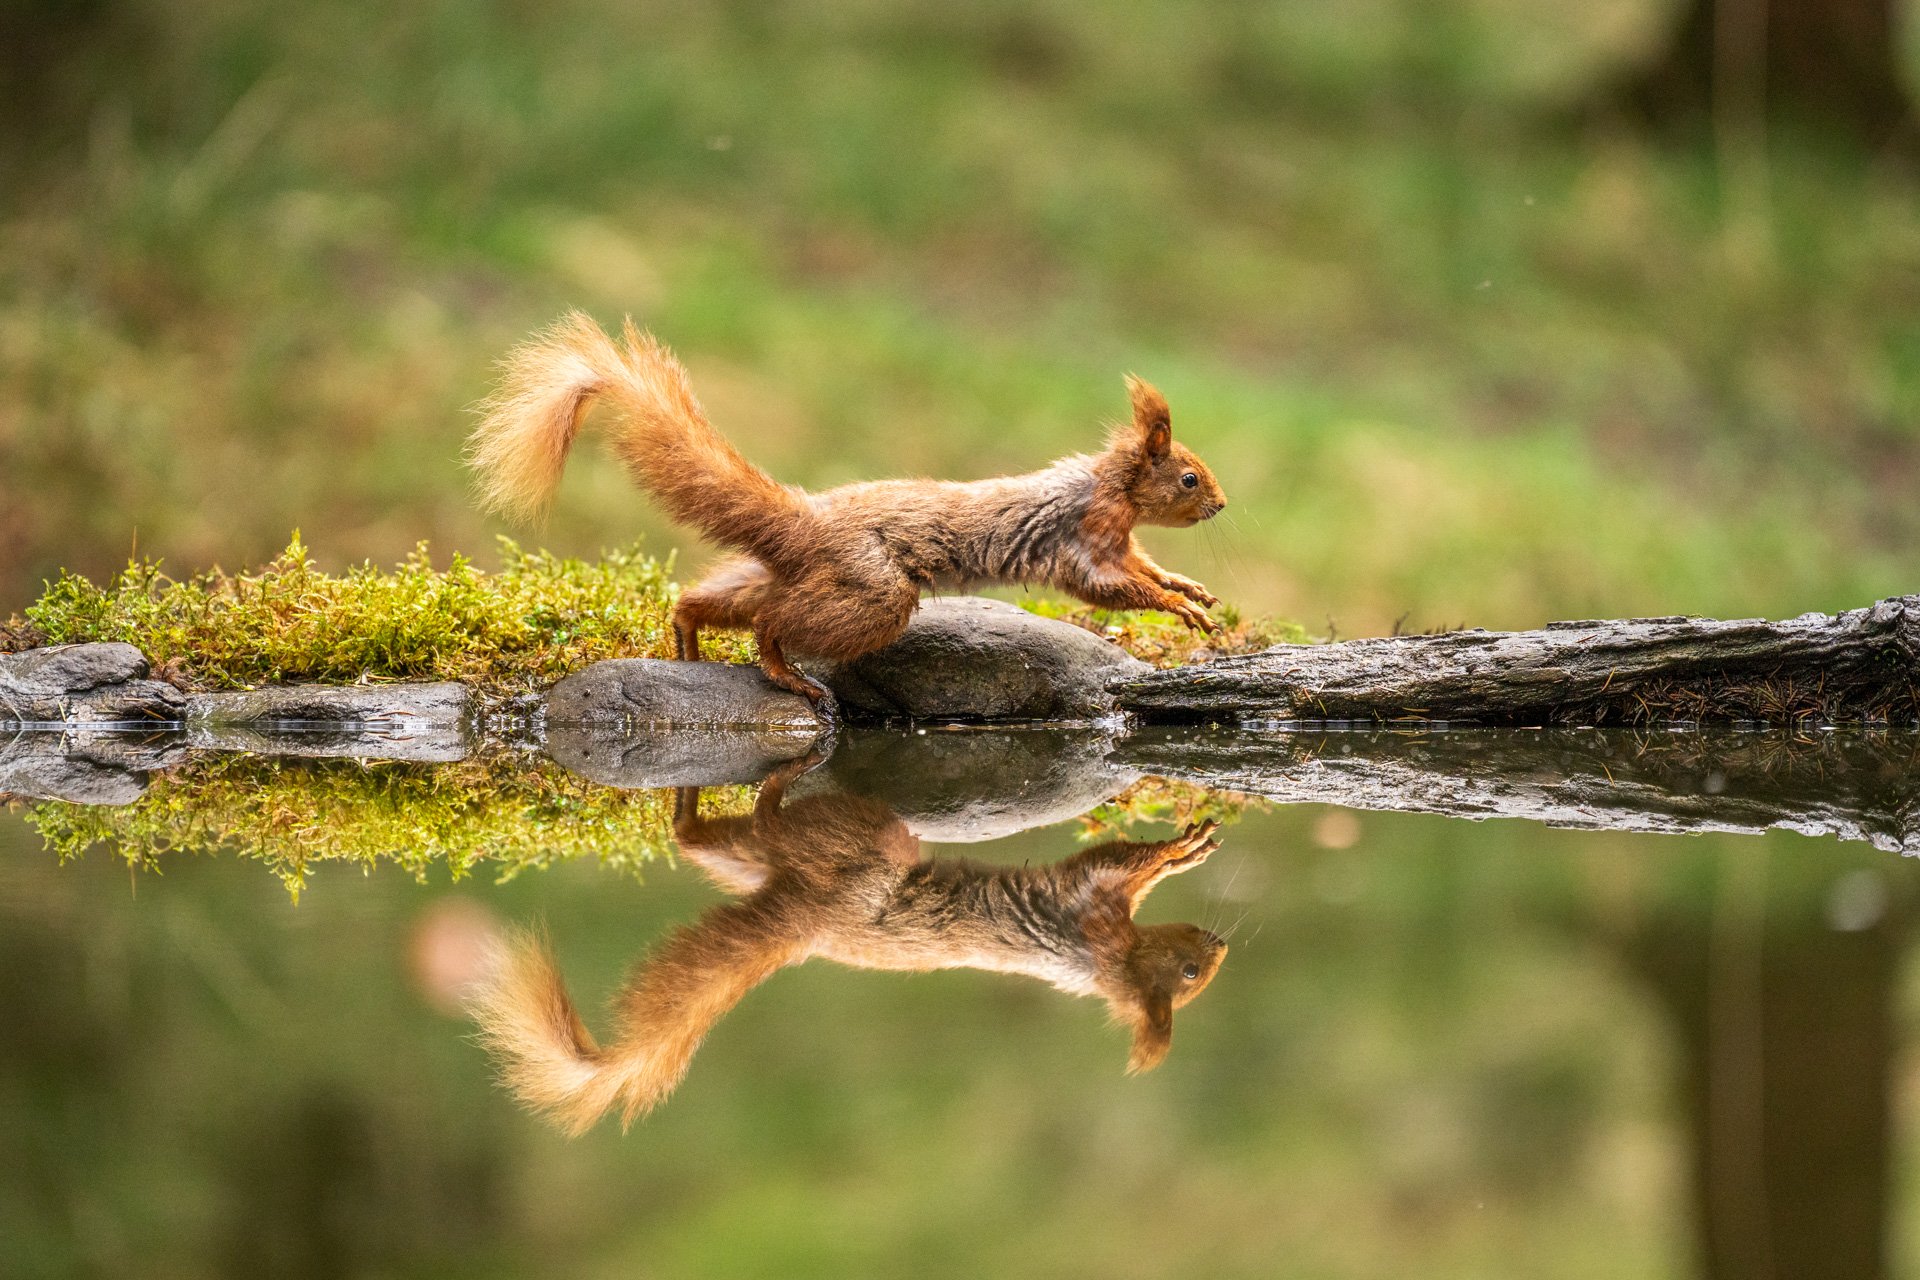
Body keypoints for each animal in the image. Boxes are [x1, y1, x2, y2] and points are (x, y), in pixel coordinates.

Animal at [466, 313, 1228, 707]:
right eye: (1190, 477)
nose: (1221, 505)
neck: (1113, 493)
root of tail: (806, 521)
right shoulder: (1083, 542)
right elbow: (1113, 587)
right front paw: (1180, 608)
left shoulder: (1120, 540)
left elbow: (1147, 569)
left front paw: (1190, 589)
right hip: (870, 593)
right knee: (773, 624)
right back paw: (785, 674)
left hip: (798, 575)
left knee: (721, 597)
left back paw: (685, 634)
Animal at [468, 755, 1228, 1134]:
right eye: (1191, 973)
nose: (1221, 944)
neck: (1107, 966)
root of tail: (807, 918)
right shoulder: (1087, 909)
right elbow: (1126, 862)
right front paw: (1181, 852)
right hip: (855, 837)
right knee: (773, 812)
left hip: (753, 860)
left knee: (706, 838)